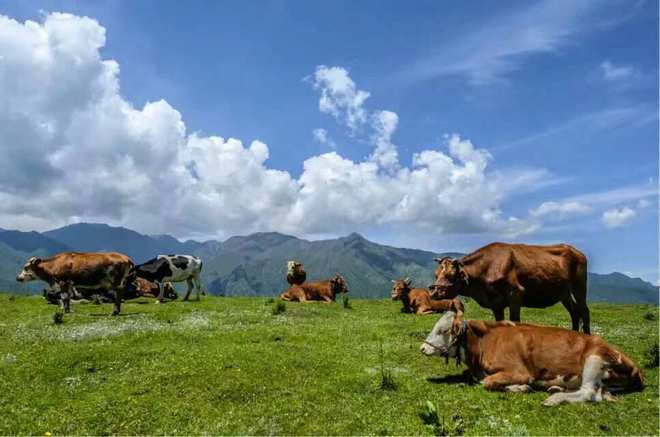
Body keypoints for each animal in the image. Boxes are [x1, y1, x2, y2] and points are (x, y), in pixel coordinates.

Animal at [420, 310, 640, 406]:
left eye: (443, 330)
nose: (422, 348)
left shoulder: (519, 372)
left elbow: (488, 382)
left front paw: (520, 388)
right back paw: (556, 388)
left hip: (594, 359)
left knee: (588, 393)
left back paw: (554, 398)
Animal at [430, 242, 592, 334]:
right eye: (436, 274)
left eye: (450, 275)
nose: (434, 292)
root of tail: (576, 251)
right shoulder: (495, 302)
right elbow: (499, 322)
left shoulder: (516, 292)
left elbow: (515, 320)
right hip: (564, 293)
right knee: (574, 312)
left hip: (579, 286)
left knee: (584, 311)